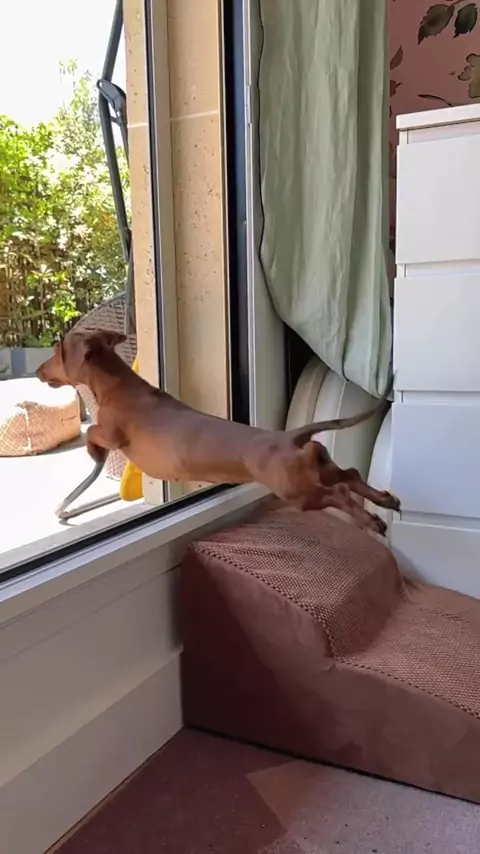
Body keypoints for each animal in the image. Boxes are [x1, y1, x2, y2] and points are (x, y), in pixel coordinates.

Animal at [36, 329, 400, 534]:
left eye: (56, 350)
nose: (39, 370)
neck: (119, 385)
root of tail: (289, 437)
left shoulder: (113, 433)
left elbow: (93, 433)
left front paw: (91, 450)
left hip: (300, 492)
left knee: (340, 492)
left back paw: (370, 521)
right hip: (319, 469)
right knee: (350, 474)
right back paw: (384, 499)